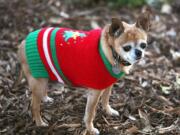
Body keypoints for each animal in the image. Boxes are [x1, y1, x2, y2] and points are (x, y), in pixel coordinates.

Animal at [17, 11, 150, 134]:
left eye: (143, 45)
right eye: (126, 48)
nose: (139, 52)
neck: (110, 51)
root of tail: (23, 42)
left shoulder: (108, 85)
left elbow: (105, 99)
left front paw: (108, 111)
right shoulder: (95, 92)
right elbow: (90, 113)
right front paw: (90, 129)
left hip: (44, 77)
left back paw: (45, 99)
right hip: (38, 81)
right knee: (34, 106)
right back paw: (40, 123)